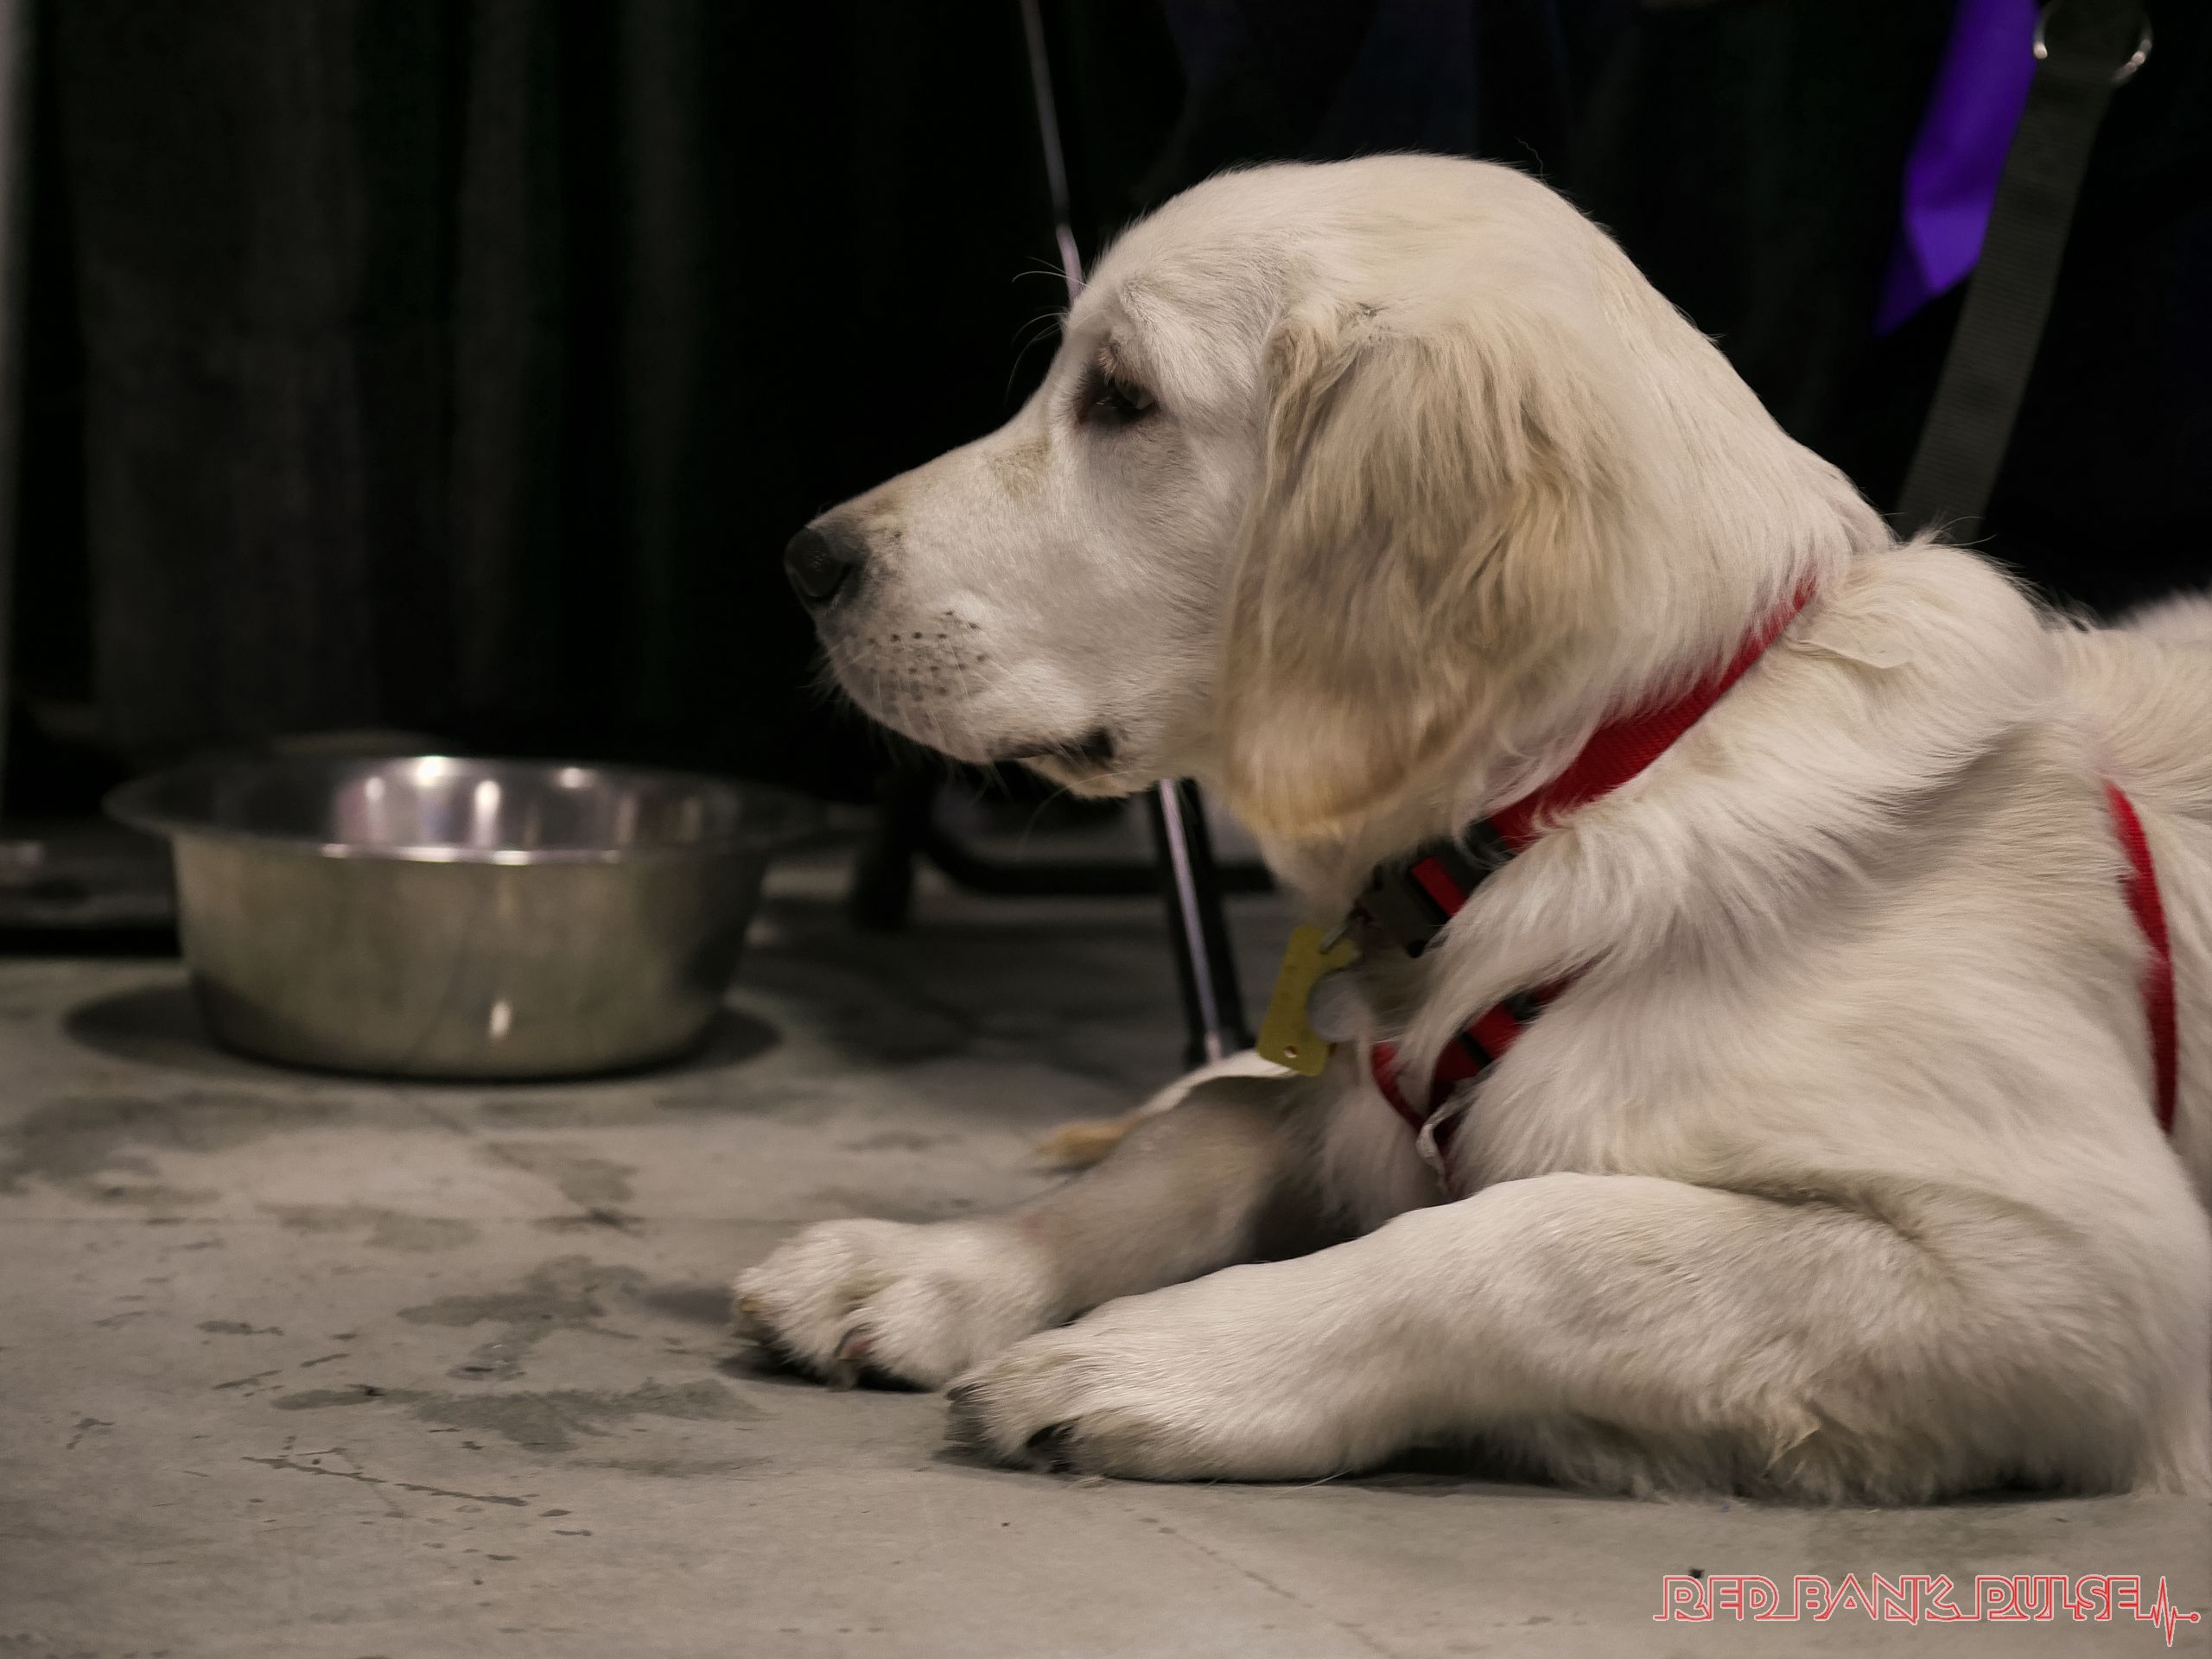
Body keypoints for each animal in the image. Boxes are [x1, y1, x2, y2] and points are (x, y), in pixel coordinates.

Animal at [740, 155, 2211, 1500]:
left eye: (1123, 400)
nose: (807, 561)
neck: (1602, 780)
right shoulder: (1360, 1092)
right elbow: (1207, 1128)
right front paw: (939, 1265)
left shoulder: (2076, 1271)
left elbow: (1537, 1241)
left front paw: (1169, 1364)